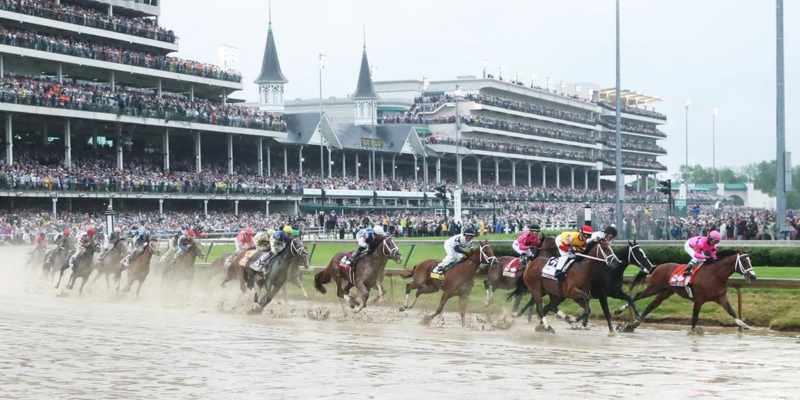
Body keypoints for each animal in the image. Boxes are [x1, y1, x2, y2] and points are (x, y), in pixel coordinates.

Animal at [612, 248, 756, 332]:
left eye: (750, 261)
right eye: (744, 261)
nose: (753, 276)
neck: (715, 274)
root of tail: (657, 266)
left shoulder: (721, 297)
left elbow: (731, 311)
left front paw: (743, 324)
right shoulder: (699, 299)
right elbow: (694, 318)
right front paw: (693, 332)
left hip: (666, 292)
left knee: (651, 305)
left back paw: (634, 324)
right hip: (654, 287)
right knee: (638, 295)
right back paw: (620, 311)